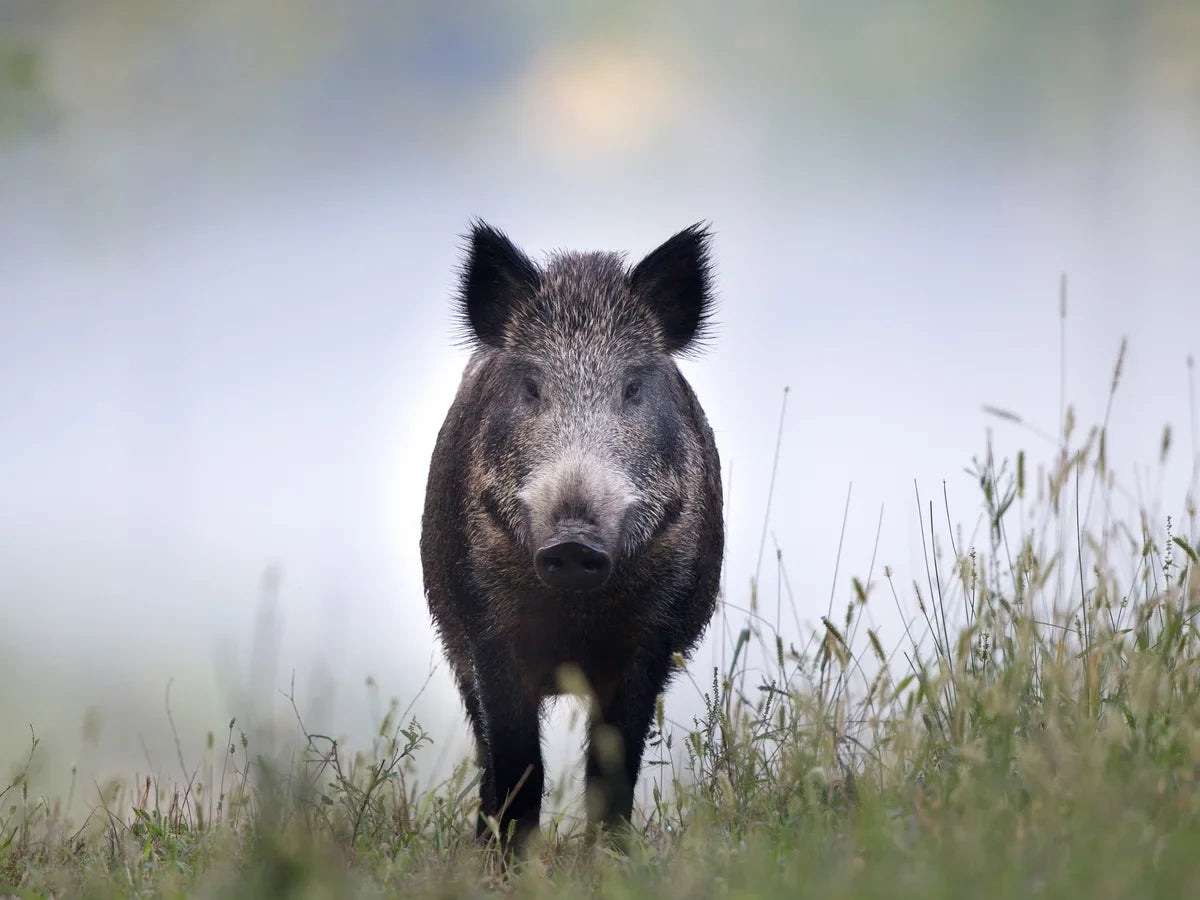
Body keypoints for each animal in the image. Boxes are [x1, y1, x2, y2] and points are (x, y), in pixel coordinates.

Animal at [420, 221, 723, 852]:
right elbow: (517, 761)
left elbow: (614, 763)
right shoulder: (487, 629)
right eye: (533, 386)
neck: (575, 617)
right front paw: (510, 859)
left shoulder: (652, 635)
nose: (573, 543)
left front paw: (609, 858)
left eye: (632, 388)